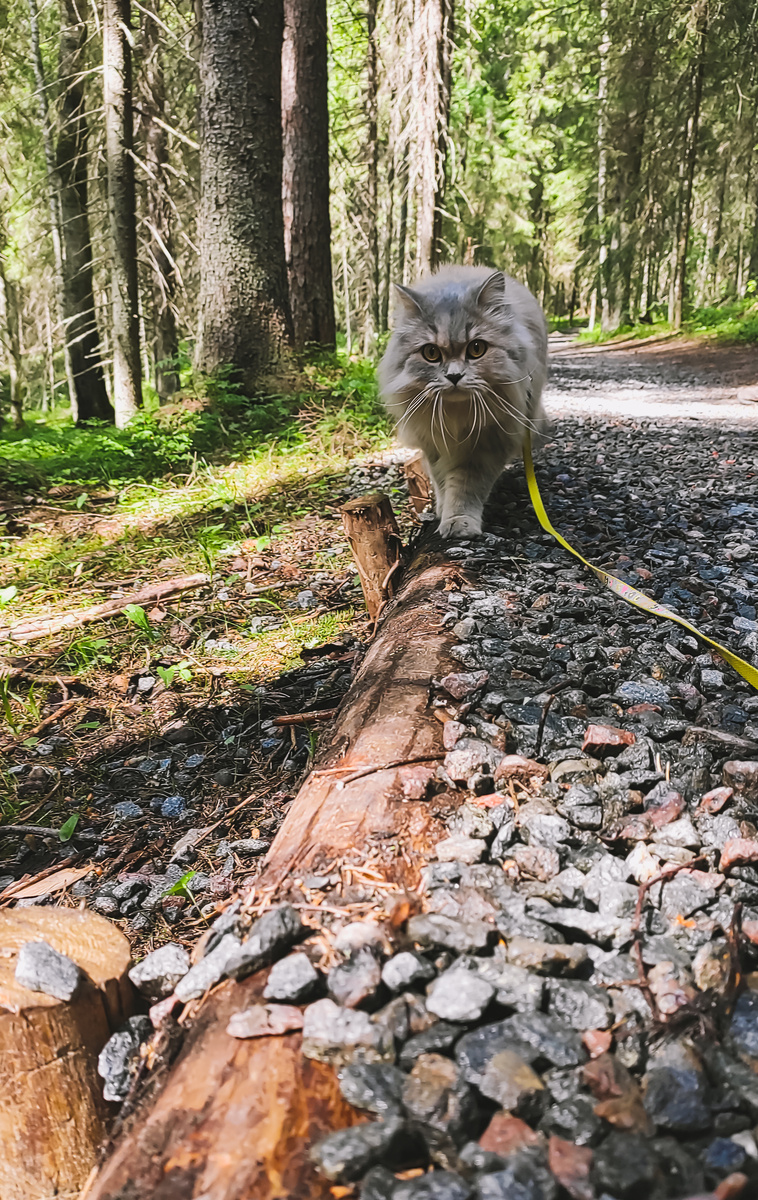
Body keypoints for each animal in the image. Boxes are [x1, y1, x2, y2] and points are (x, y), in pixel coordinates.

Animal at [376, 270, 544, 542]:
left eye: (476, 349)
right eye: (431, 353)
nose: (454, 376)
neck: (455, 415)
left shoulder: (486, 445)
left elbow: (465, 488)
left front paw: (459, 522)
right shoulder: (432, 443)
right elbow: (442, 483)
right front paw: (442, 510)